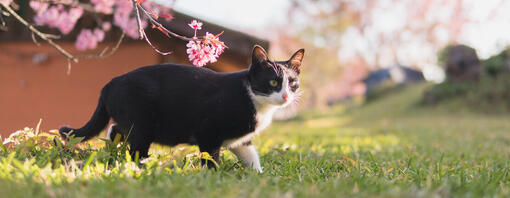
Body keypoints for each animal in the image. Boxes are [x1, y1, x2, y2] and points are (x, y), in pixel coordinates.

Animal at [61, 45, 304, 172]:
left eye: (292, 83)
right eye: (273, 82)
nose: (286, 95)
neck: (256, 103)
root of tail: (110, 83)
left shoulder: (241, 141)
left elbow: (251, 155)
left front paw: (258, 176)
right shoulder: (208, 131)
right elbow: (210, 158)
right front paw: (212, 177)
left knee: (115, 129)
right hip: (142, 122)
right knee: (136, 147)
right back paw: (142, 168)